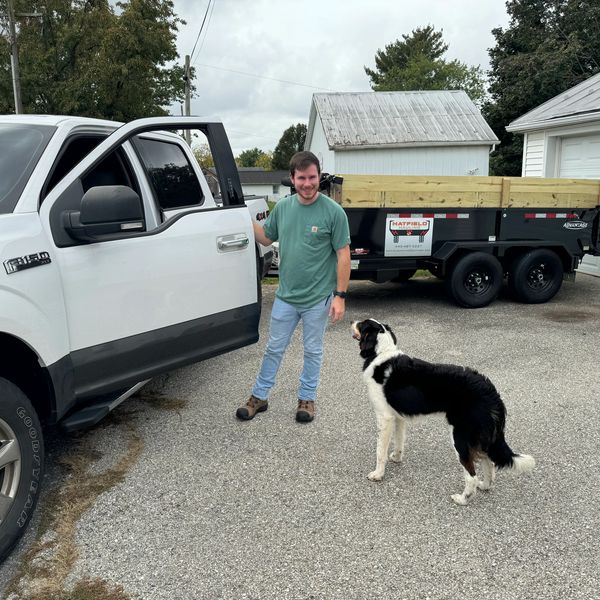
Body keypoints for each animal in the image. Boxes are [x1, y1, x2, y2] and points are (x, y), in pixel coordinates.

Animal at [350, 318, 536, 506]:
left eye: (361, 324)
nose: (351, 320)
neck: (381, 353)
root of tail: (489, 390)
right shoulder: (398, 417)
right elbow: (399, 441)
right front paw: (396, 458)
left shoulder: (385, 417)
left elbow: (380, 451)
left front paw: (378, 474)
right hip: (479, 438)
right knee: (489, 464)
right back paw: (484, 486)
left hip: (461, 438)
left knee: (471, 475)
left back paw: (462, 499)